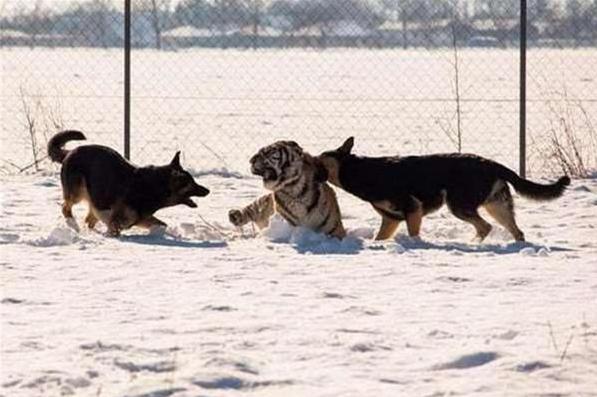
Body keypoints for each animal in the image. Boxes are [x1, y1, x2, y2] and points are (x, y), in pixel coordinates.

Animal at [47, 129, 210, 235]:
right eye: (191, 183)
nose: (208, 190)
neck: (153, 186)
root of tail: (70, 152)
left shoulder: (140, 218)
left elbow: (162, 224)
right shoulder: (117, 221)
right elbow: (115, 227)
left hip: (96, 199)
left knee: (89, 218)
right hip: (77, 193)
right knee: (66, 208)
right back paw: (73, 225)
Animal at [316, 136, 568, 241]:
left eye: (319, 157)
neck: (360, 171)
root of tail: (490, 163)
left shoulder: (412, 209)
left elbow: (414, 234)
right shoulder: (391, 219)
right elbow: (380, 238)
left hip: (459, 205)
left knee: (485, 227)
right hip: (497, 206)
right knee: (516, 231)